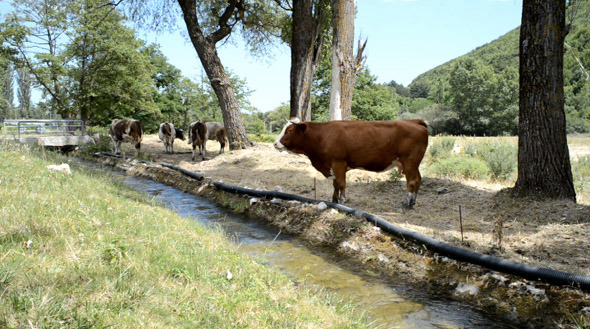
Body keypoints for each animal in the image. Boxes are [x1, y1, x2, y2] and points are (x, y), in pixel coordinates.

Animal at [272, 118, 430, 209]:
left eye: (289, 130)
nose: (275, 143)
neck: (322, 136)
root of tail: (414, 121)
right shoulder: (332, 165)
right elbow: (335, 184)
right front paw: (334, 200)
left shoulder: (338, 162)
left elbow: (341, 183)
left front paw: (342, 201)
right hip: (414, 164)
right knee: (418, 179)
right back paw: (413, 201)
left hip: (409, 161)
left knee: (412, 181)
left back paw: (407, 203)